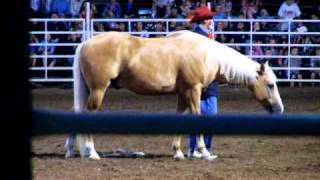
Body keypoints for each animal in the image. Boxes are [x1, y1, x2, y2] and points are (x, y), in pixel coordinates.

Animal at [63, 30, 284, 160]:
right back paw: (91, 152)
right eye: (271, 85)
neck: (208, 56)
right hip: (98, 90)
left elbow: (181, 118)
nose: (280, 109)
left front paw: (178, 152)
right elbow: (197, 117)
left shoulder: (183, 93)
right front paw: (204, 153)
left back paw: (71, 150)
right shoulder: (193, 90)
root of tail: (85, 43)